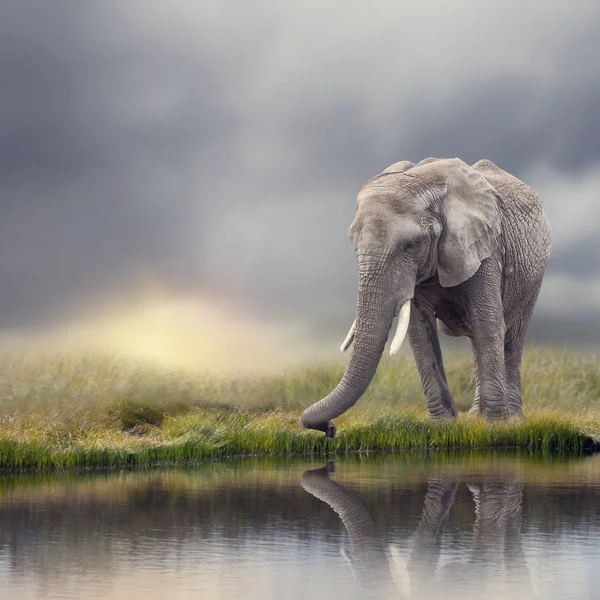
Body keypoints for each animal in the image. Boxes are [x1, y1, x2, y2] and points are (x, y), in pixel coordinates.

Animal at [302, 156, 552, 436]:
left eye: (411, 245)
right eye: (354, 245)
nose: (330, 428)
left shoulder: (485, 247)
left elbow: (488, 325)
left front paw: (495, 426)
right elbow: (420, 333)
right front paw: (445, 425)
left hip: (534, 275)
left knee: (511, 338)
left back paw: (514, 420)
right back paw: (476, 415)